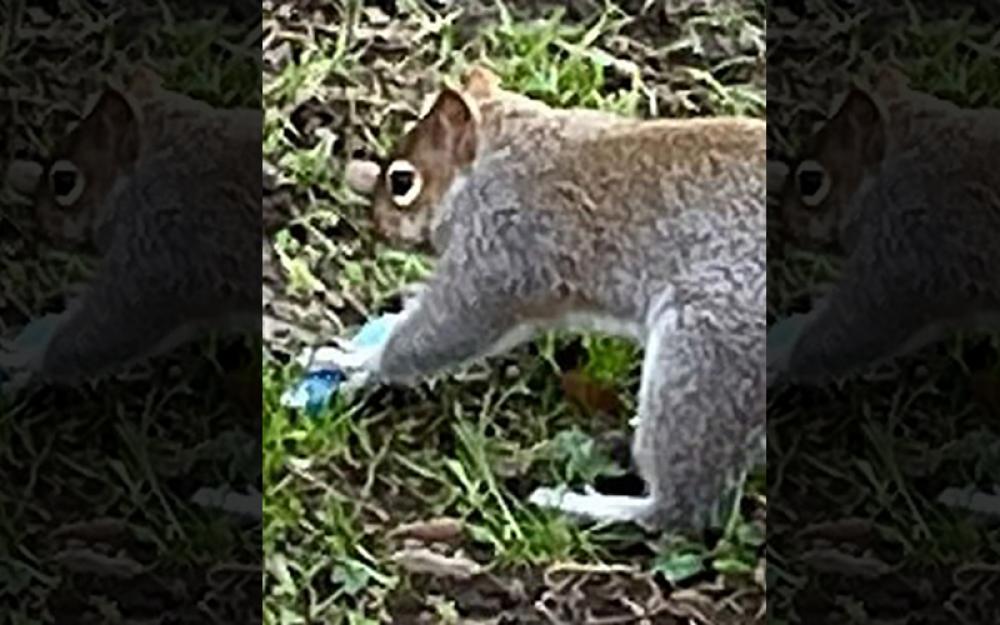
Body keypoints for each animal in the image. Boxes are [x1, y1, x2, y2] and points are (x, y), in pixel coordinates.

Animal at [323, 67, 767, 531]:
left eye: (402, 181)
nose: (377, 226)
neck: (500, 155)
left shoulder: (502, 247)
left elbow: (447, 328)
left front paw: (359, 361)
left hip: (706, 354)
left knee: (680, 509)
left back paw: (584, 504)